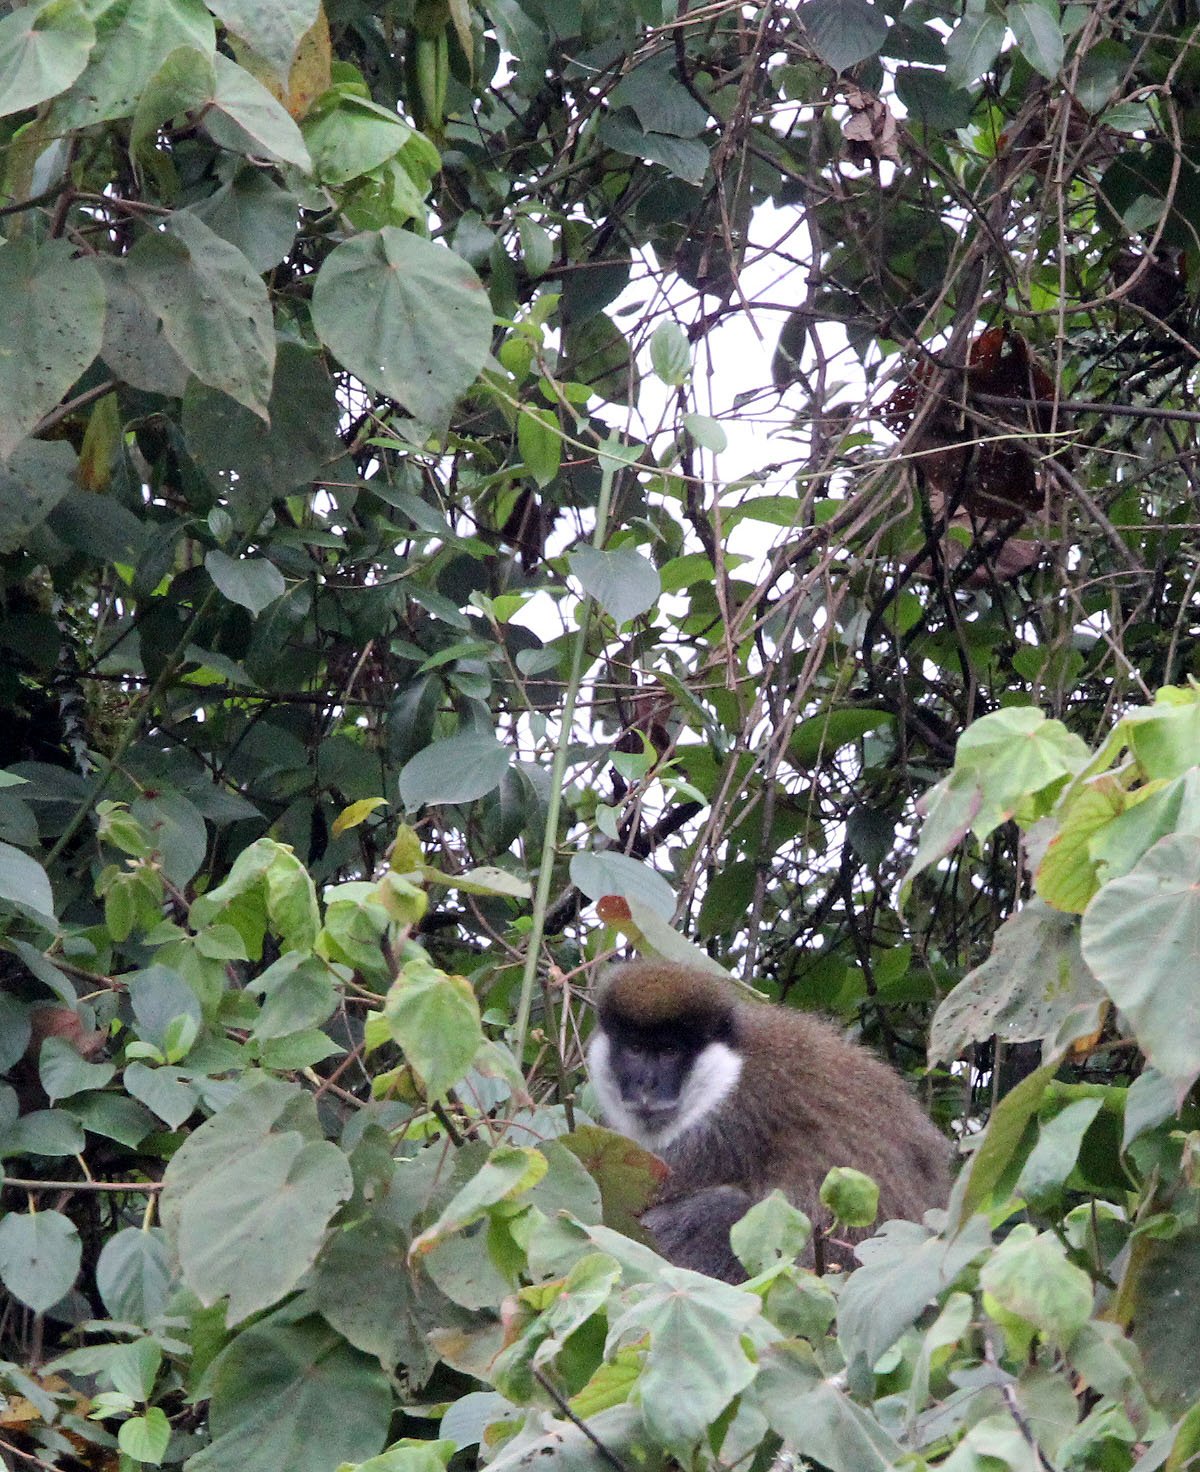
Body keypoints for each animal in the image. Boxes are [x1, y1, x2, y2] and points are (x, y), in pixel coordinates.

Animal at [587, 961, 951, 1280]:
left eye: (668, 1052)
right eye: (635, 1049)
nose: (646, 1086)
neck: (726, 1072)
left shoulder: (724, 1124)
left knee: (725, 1206)